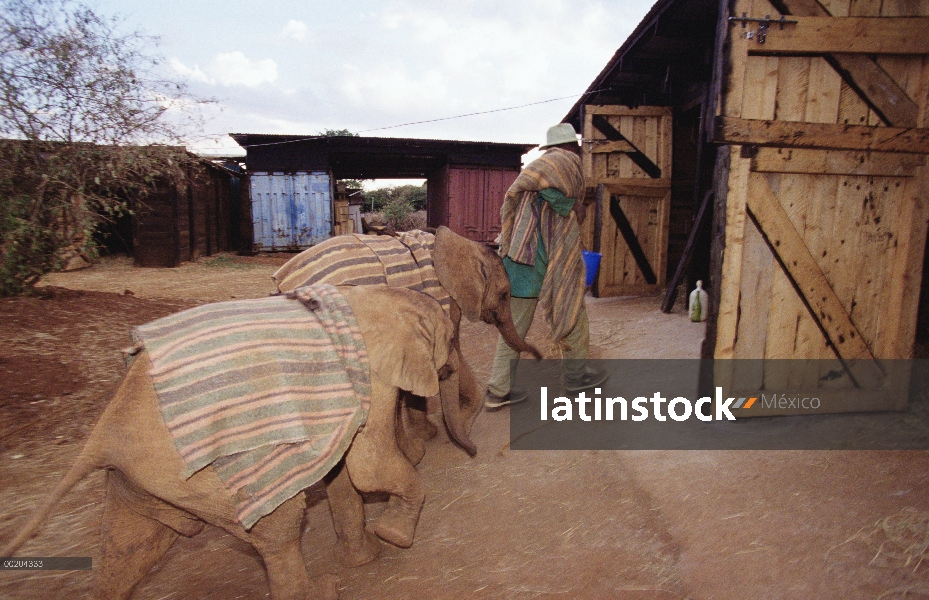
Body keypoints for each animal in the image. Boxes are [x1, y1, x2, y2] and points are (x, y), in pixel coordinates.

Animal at [272, 225, 540, 454]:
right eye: (504, 295)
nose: (538, 354)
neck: (463, 244)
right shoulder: (445, 298)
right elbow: (452, 349)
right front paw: (435, 434)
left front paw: (428, 434)